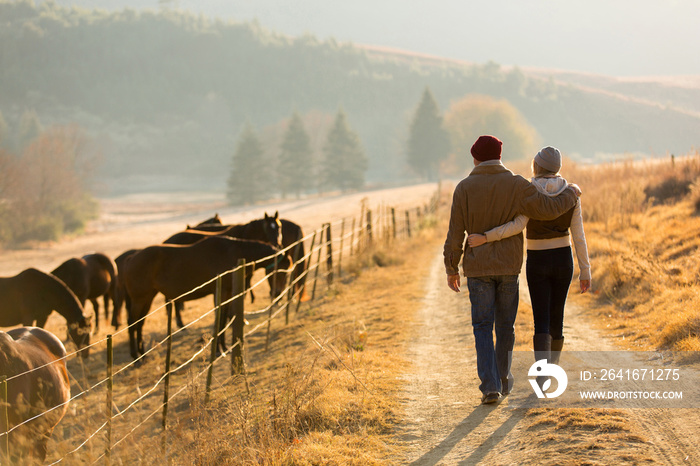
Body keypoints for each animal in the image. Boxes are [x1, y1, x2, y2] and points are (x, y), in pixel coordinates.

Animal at [123, 237, 290, 360]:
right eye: (282, 272)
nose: (277, 293)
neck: (232, 253)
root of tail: (131, 258)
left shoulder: (228, 293)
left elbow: (223, 320)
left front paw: (224, 348)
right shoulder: (220, 293)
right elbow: (219, 319)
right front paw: (218, 350)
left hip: (148, 298)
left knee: (140, 324)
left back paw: (142, 355)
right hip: (140, 298)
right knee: (132, 323)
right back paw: (135, 356)